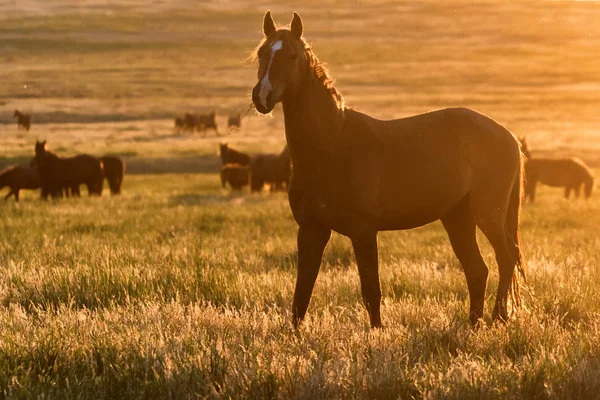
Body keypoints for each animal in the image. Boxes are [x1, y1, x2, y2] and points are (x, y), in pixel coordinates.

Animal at [251, 11, 528, 328]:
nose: (262, 96)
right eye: (262, 53)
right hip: (457, 216)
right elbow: (302, 293)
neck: (332, 146)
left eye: (292, 56)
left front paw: (377, 332)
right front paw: (295, 335)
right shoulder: (311, 230)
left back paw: (498, 318)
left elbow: (371, 288)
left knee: (506, 257)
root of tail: (506, 135)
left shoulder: (363, 231)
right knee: (477, 269)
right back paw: (474, 323)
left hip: (488, 213)